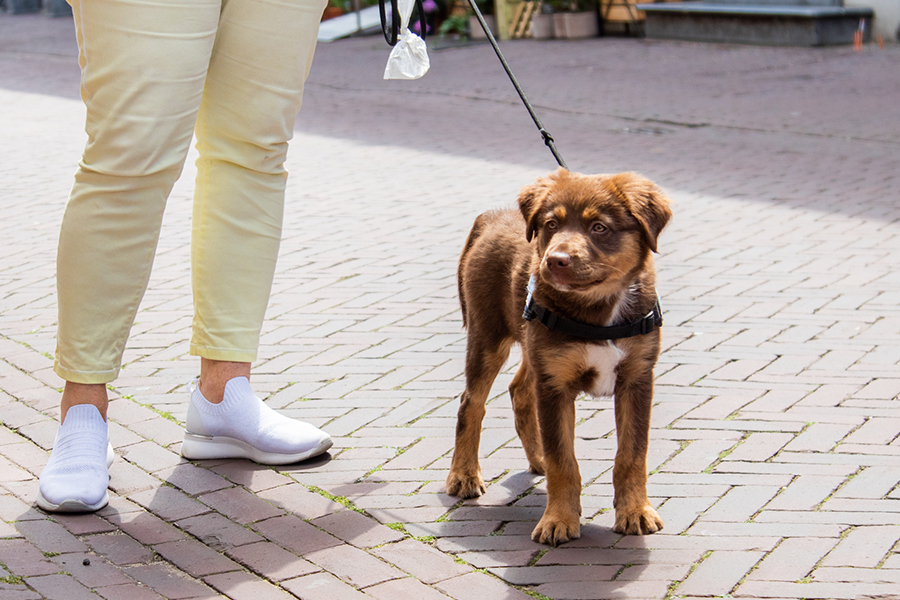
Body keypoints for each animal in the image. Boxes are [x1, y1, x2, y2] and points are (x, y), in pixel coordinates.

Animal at [446, 168, 672, 544]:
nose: (555, 260)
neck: (598, 309)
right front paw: (559, 520)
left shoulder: (637, 378)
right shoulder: (555, 384)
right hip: (488, 336)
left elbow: (632, 454)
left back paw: (536, 457)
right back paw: (463, 475)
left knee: (519, 390)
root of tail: (492, 216)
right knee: (471, 402)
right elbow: (563, 460)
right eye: (551, 224)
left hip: (533, 346)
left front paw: (635, 512)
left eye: (599, 227)